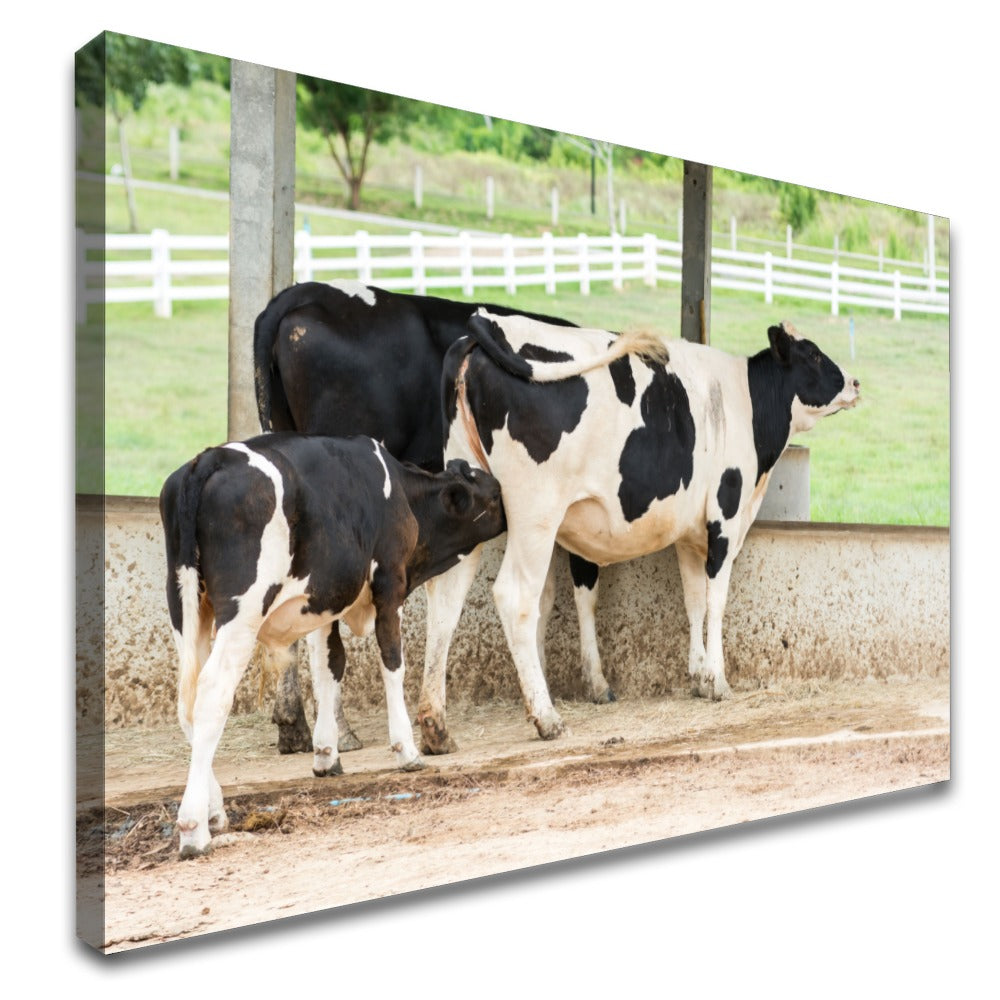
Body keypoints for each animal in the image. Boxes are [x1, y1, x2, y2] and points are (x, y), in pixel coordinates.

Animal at [159, 433, 505, 857]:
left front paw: (327, 753)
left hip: (187, 609)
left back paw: (215, 810)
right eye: (492, 496)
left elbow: (329, 668)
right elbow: (392, 662)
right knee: (212, 694)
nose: (506, 500)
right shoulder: (389, 583)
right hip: (241, 611)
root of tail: (208, 459)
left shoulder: (322, 601)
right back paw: (193, 828)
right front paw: (406, 750)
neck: (400, 490)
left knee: (187, 704)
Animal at [415, 314, 860, 750]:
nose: (855, 383)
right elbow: (716, 600)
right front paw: (718, 681)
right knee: (515, 597)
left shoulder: (690, 533)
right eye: (814, 355)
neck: (745, 404)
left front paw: (699, 675)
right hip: (535, 512)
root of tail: (483, 327)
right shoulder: (724, 517)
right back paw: (547, 718)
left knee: (447, 596)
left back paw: (436, 726)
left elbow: (693, 600)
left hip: (472, 501)